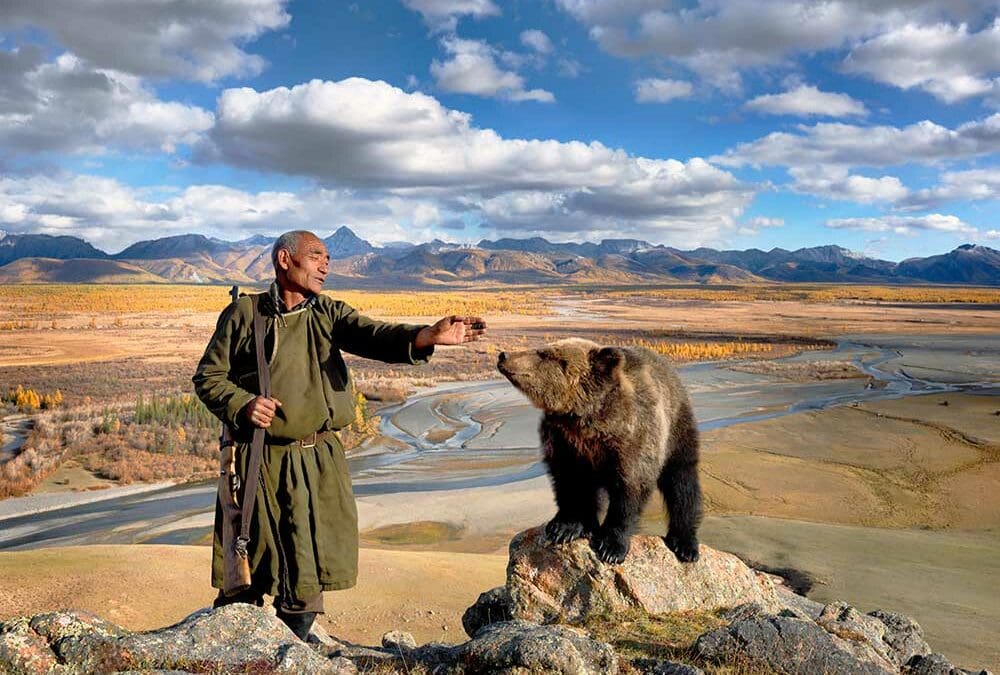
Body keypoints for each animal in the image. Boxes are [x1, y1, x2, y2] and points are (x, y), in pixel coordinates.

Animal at [498, 338, 704, 564]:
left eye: (544, 354)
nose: (503, 355)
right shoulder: (564, 441)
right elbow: (568, 482)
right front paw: (564, 527)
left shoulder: (632, 439)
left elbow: (629, 490)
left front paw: (611, 547)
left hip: (677, 429)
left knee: (682, 483)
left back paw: (685, 543)